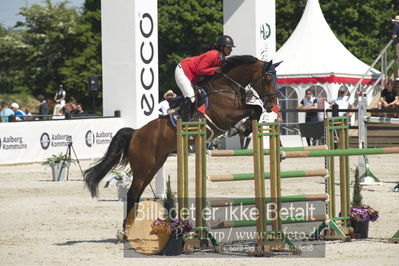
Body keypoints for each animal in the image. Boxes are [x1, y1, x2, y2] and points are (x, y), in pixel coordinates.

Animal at [84, 55, 280, 228]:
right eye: (267, 79)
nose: (272, 104)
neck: (226, 87)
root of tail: (136, 133)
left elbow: (255, 109)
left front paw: (244, 128)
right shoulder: (225, 116)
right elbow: (254, 109)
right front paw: (241, 128)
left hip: (153, 166)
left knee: (138, 193)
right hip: (142, 167)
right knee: (132, 193)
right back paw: (126, 229)